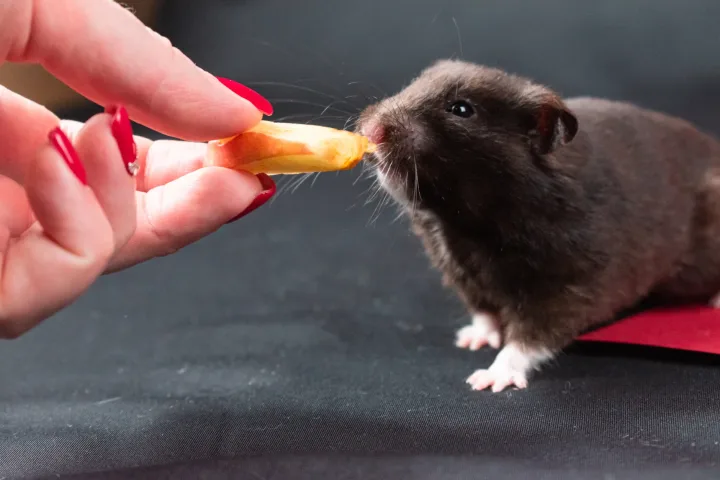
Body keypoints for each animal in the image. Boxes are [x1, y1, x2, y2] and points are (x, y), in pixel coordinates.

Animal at [356, 59, 720, 392]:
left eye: (461, 109)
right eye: (415, 83)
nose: (370, 131)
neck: (464, 222)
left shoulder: (571, 284)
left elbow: (529, 338)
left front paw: (488, 379)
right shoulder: (461, 273)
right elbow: (484, 312)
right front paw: (471, 339)